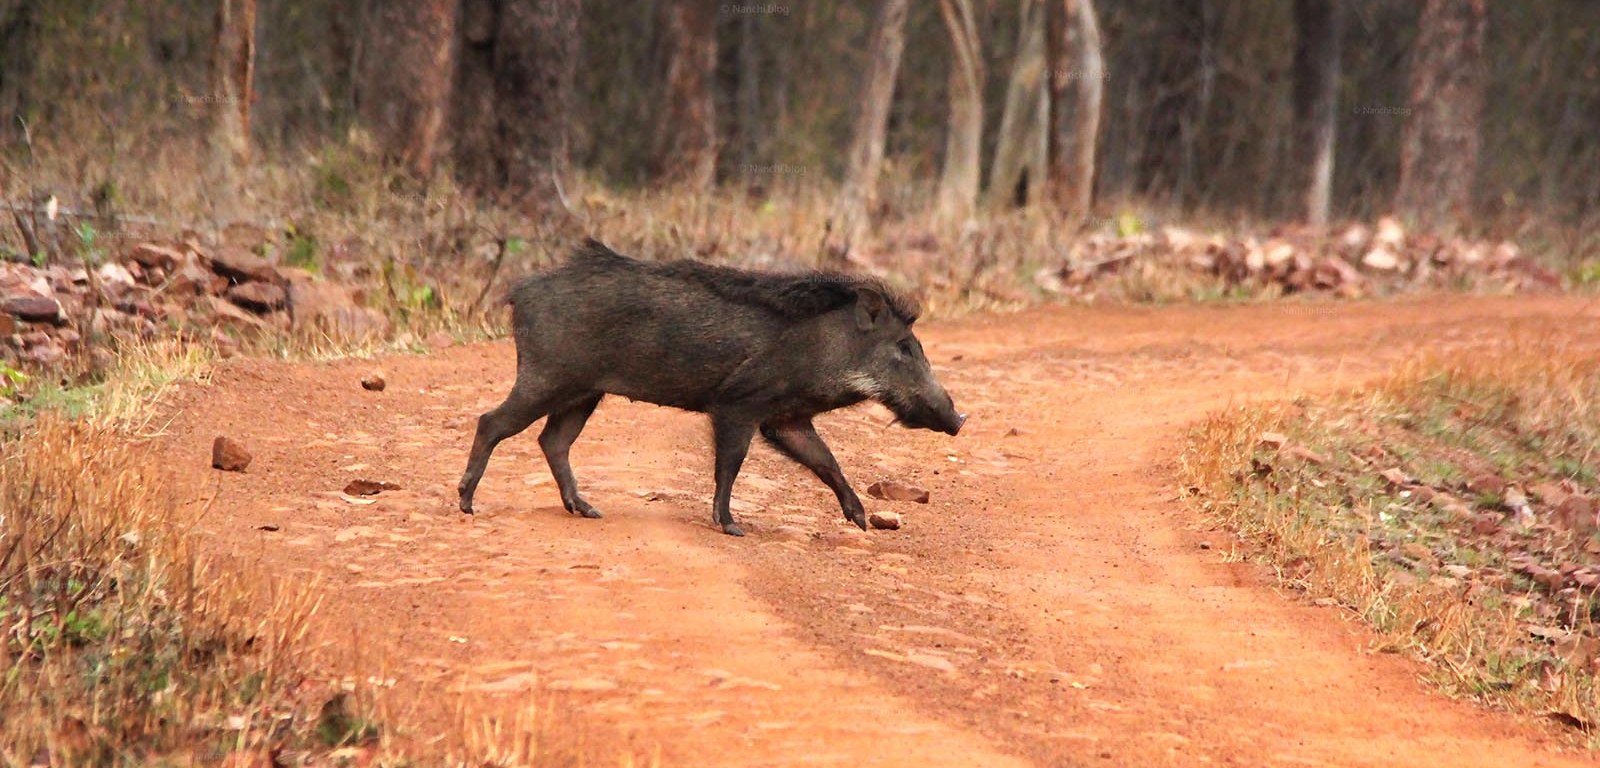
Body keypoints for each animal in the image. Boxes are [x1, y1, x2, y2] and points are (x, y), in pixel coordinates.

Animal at [457, 239, 965, 537]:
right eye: (904, 347)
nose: (959, 418)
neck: (825, 348)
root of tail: (519, 293)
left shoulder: (786, 419)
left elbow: (826, 462)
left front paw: (861, 522)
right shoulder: (737, 404)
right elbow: (731, 463)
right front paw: (731, 527)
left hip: (582, 393)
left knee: (552, 440)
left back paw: (587, 510)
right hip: (547, 378)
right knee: (491, 423)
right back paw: (466, 504)